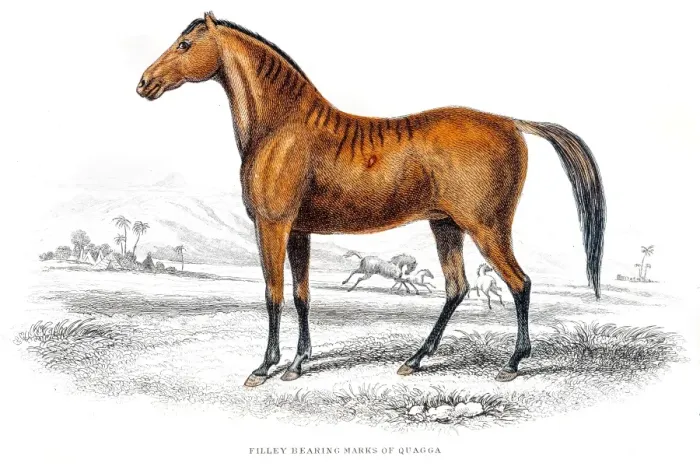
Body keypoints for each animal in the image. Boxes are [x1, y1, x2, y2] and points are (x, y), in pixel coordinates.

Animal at [137, 12, 606, 386]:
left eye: (184, 44)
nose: (144, 83)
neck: (282, 127)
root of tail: (510, 122)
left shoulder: (272, 226)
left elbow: (274, 294)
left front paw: (265, 367)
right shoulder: (299, 231)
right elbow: (302, 295)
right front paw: (298, 363)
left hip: (487, 228)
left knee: (519, 284)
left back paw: (511, 363)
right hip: (446, 225)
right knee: (457, 288)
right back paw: (415, 360)